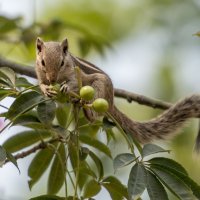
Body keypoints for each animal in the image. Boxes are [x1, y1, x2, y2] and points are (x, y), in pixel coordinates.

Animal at [35, 37, 200, 148]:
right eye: (43, 62)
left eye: (62, 63)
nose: (52, 79)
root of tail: (111, 101)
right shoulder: (40, 75)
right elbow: (41, 83)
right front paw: (46, 89)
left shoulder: (75, 74)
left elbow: (74, 83)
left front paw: (66, 88)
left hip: (100, 88)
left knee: (94, 117)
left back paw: (88, 111)